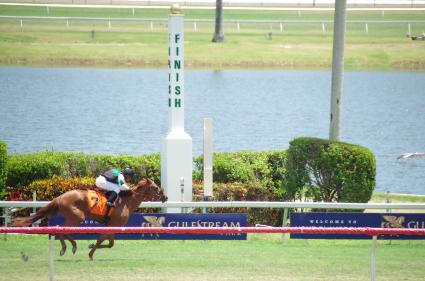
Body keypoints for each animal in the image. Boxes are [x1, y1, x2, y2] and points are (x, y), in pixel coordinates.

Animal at [11, 178, 167, 260]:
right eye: (155, 187)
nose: (165, 197)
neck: (127, 202)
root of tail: (60, 197)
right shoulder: (111, 226)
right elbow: (101, 240)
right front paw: (91, 253)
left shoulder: (112, 227)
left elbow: (110, 244)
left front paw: (90, 246)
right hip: (77, 217)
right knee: (61, 229)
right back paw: (67, 247)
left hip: (74, 217)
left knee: (63, 230)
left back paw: (71, 246)